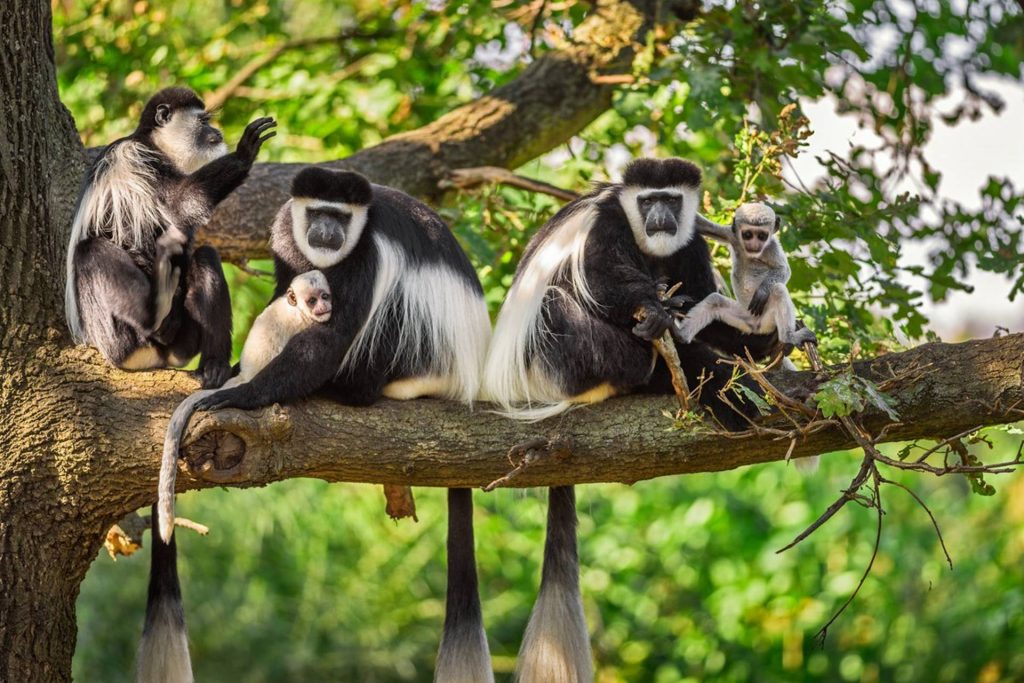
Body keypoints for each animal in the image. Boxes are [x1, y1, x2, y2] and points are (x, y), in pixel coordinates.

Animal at [66, 86, 278, 387]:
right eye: (203, 121)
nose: (217, 131)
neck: (155, 145)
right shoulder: (137, 158)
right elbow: (181, 202)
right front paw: (244, 152)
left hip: (183, 343)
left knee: (205, 256)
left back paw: (213, 366)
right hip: (114, 335)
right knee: (92, 250)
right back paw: (155, 320)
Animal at [483, 158, 778, 679]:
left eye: (672, 200)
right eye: (647, 201)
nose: (660, 216)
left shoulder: (689, 242)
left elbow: (703, 299)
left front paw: (753, 339)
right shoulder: (606, 225)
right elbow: (603, 280)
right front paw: (656, 310)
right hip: (554, 360)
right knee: (561, 304)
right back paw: (658, 363)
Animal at [679, 201, 815, 352]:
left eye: (762, 236)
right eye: (748, 234)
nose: (754, 244)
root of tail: (756, 326)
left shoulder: (772, 247)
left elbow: (783, 269)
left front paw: (762, 292)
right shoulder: (732, 235)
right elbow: (701, 225)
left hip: (767, 319)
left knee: (778, 290)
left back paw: (788, 337)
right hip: (743, 317)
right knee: (715, 301)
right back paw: (680, 335)